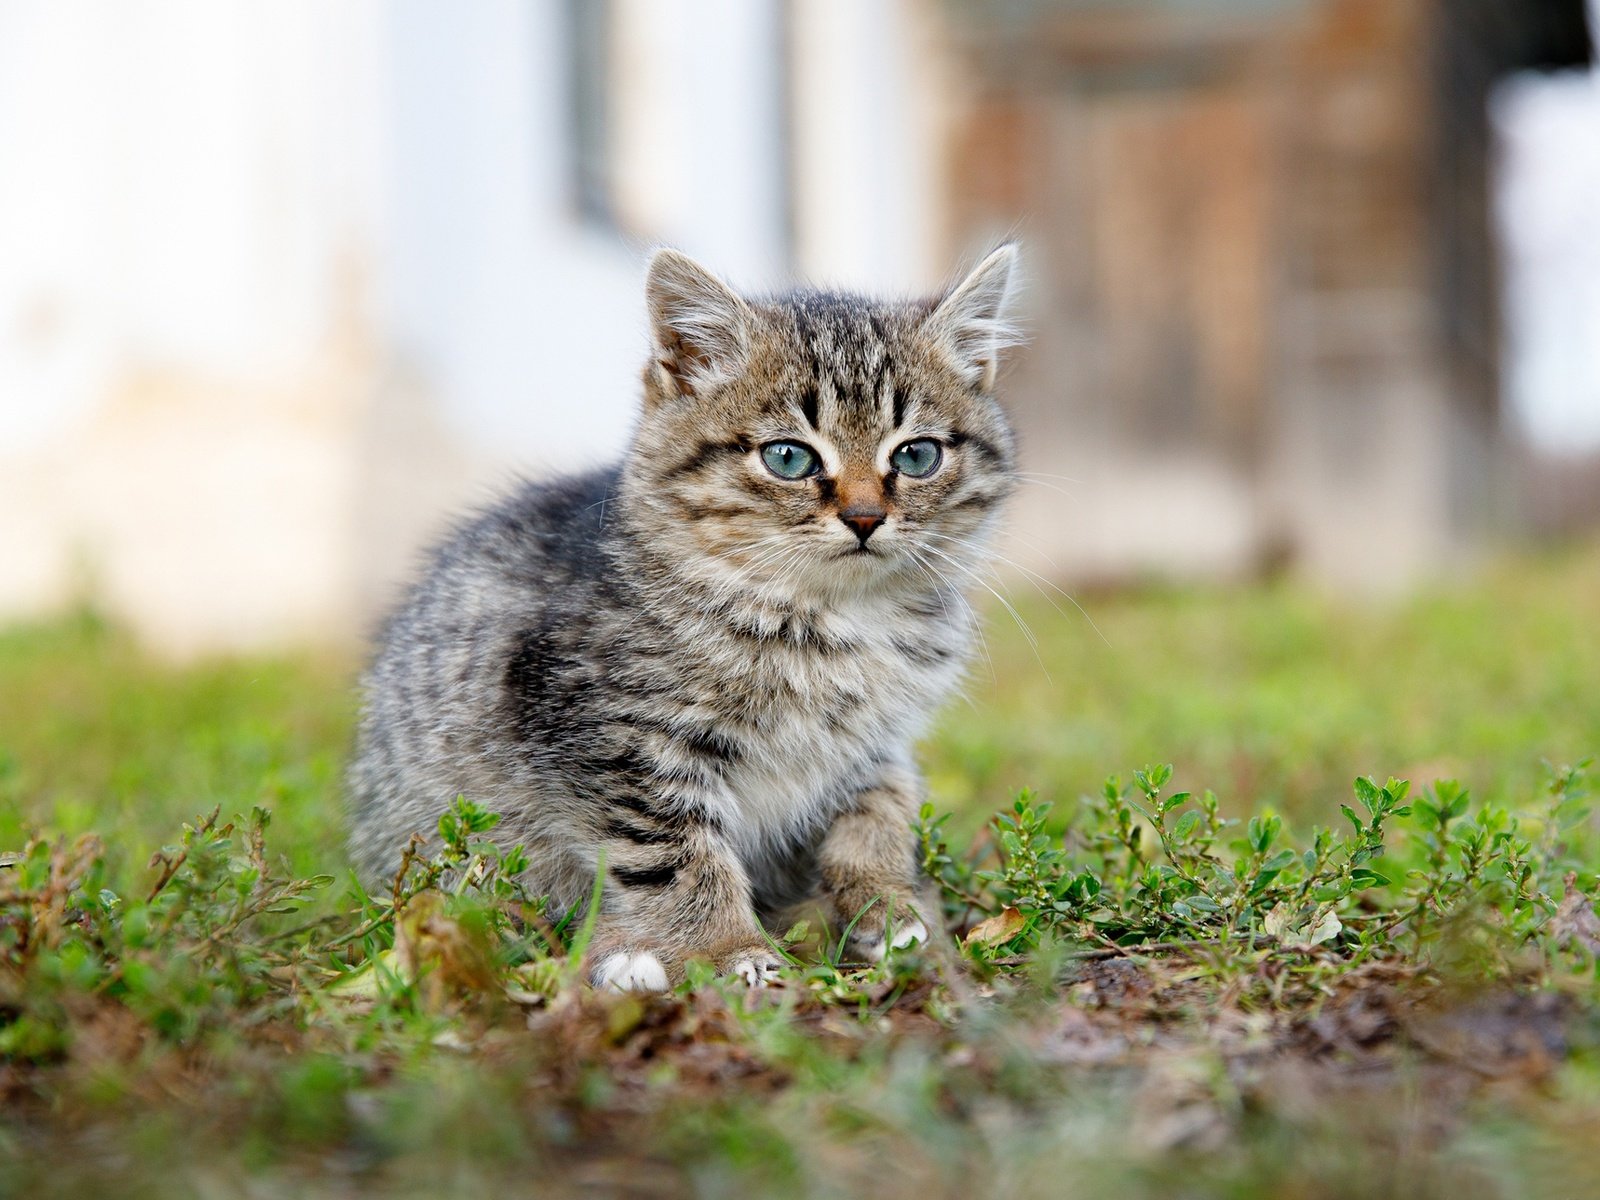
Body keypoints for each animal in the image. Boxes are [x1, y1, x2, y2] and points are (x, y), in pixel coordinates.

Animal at [352, 246, 1024, 998]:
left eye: (916, 455)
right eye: (788, 457)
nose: (864, 516)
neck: (825, 618)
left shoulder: (876, 742)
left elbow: (882, 808)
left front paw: (888, 905)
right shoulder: (611, 737)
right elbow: (676, 852)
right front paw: (727, 947)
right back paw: (626, 957)